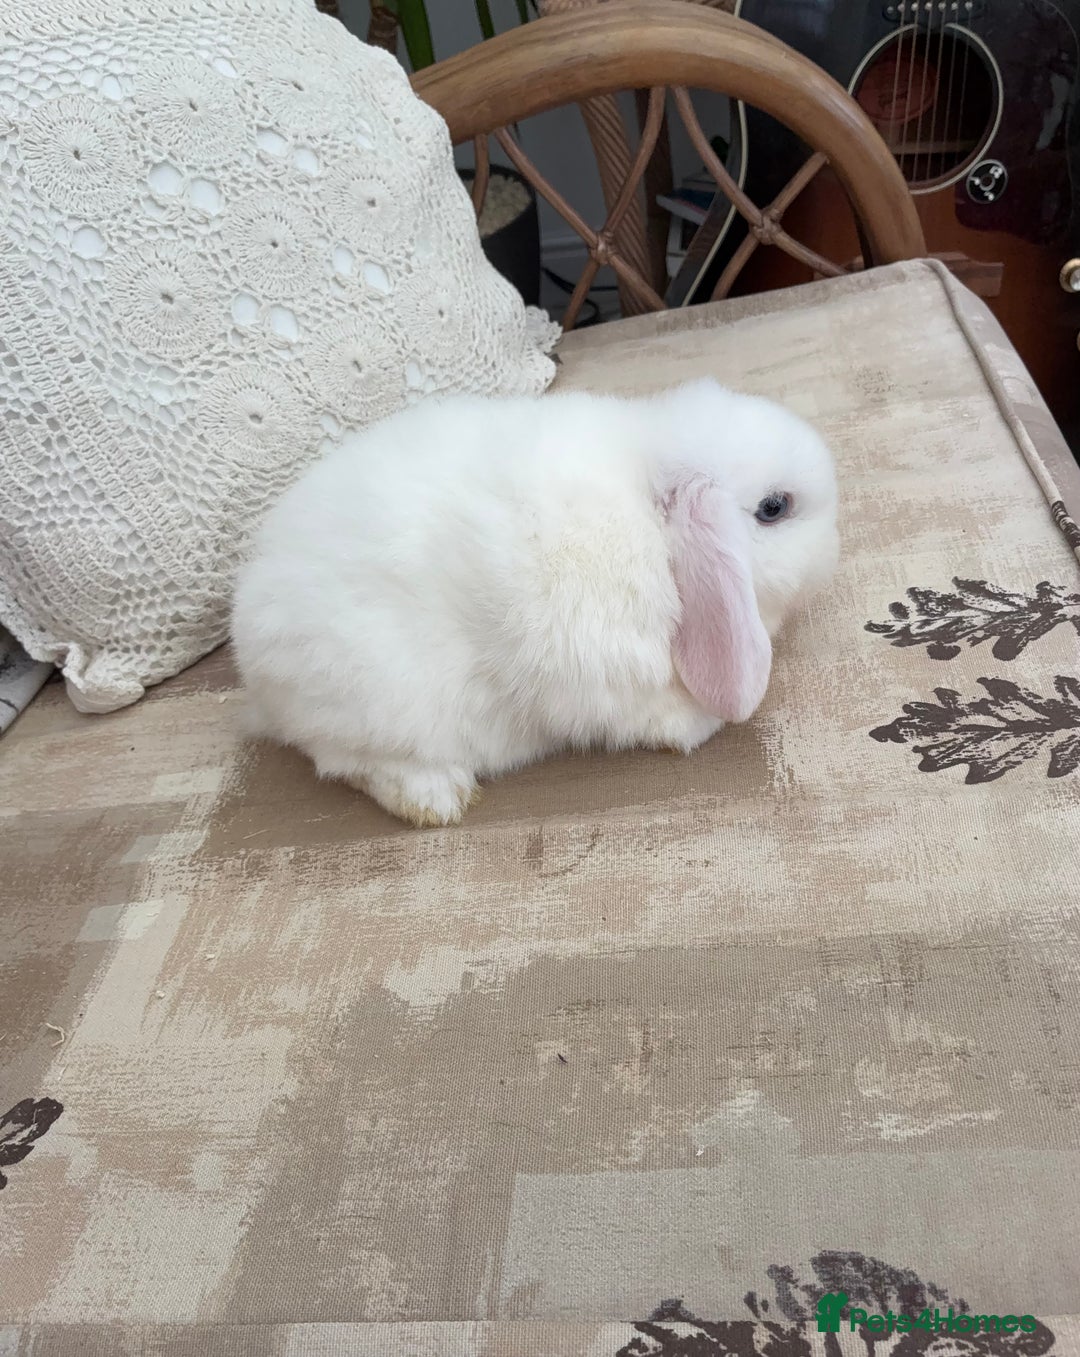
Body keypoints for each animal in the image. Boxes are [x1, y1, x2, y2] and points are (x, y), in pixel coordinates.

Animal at [231, 378, 839, 827]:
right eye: (774, 507)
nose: (837, 538)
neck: (655, 528)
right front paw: (698, 724)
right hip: (380, 701)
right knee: (346, 761)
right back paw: (437, 799)